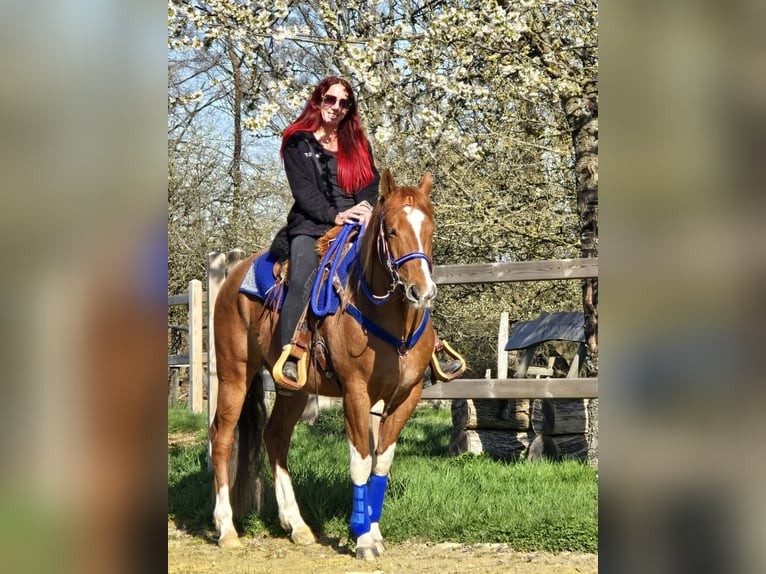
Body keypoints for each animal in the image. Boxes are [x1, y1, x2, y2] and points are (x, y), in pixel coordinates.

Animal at [210, 170, 439, 559]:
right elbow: (361, 461)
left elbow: (382, 462)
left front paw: (375, 532)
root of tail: (232, 277)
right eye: (391, 230)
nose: (421, 292)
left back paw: (297, 525)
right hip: (234, 377)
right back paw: (226, 528)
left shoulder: (407, 396)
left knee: (275, 437)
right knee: (222, 438)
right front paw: (362, 538)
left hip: (294, 389)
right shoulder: (356, 393)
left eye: (431, 229)